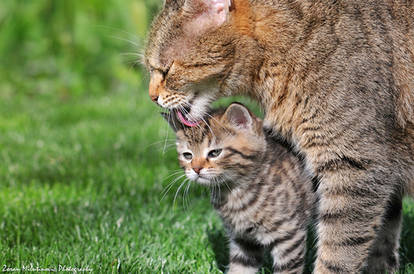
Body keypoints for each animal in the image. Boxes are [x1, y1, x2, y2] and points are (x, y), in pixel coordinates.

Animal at [163, 103, 312, 274]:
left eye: (215, 152)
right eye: (188, 155)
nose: (196, 169)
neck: (235, 193)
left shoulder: (289, 236)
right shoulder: (243, 241)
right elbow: (239, 268)